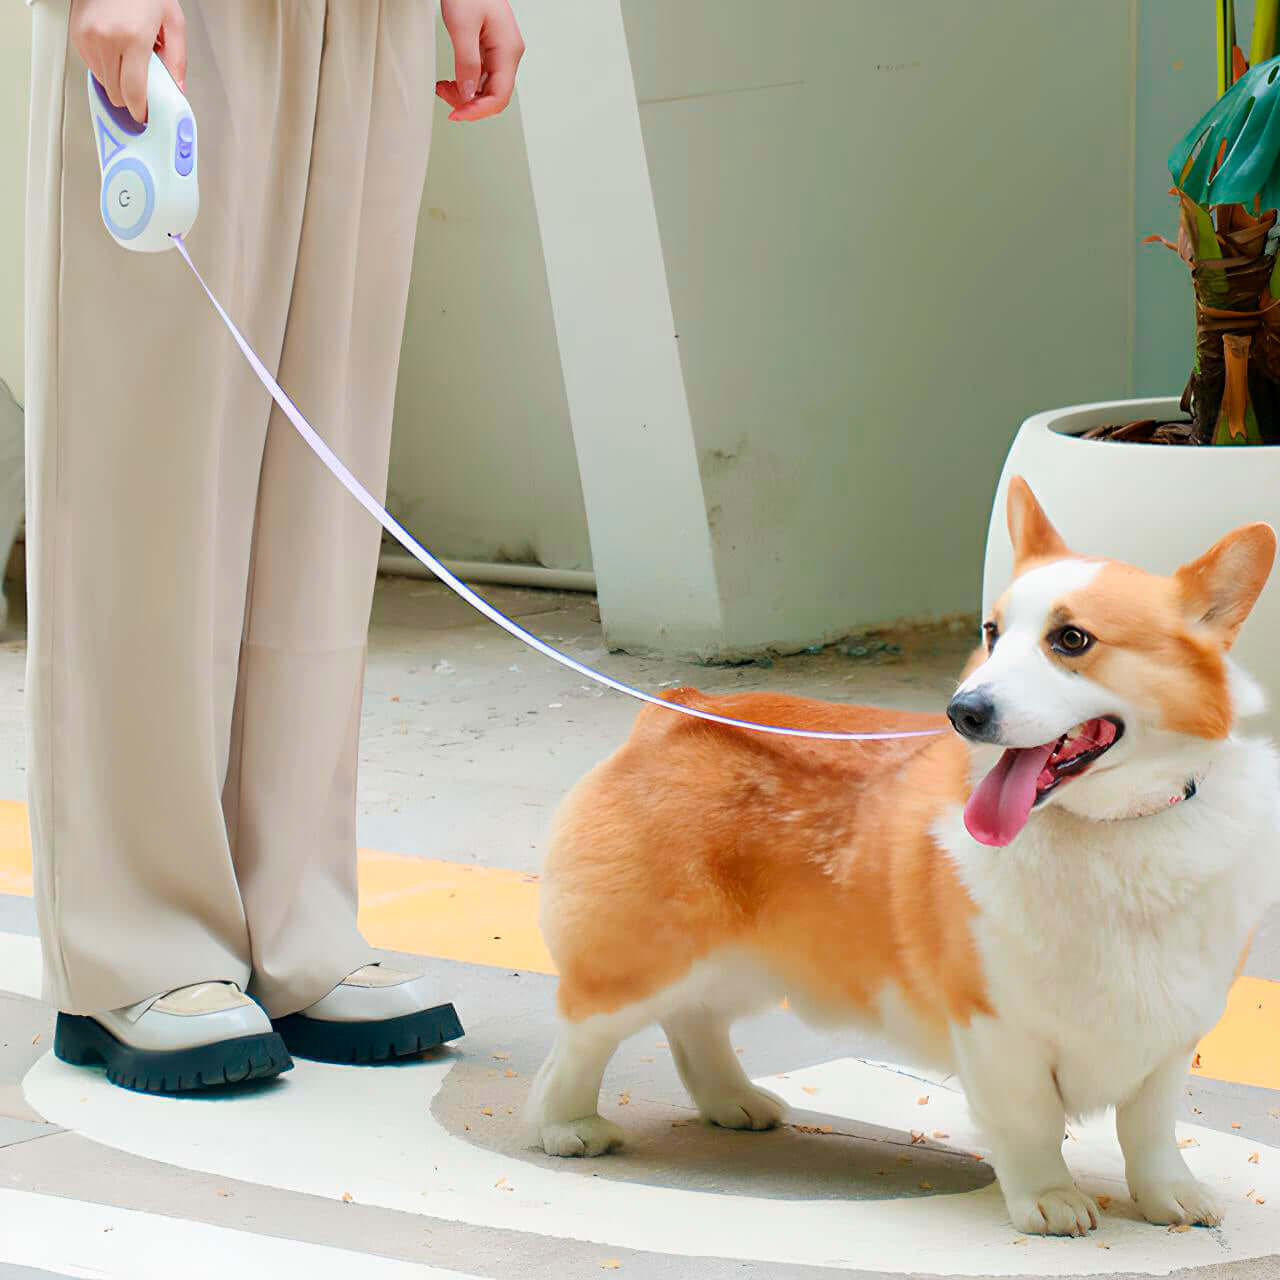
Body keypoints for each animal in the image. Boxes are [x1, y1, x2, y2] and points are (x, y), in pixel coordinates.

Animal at [527, 476, 1280, 1233]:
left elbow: (1149, 1129)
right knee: (579, 1037)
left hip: (749, 959)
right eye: (991, 633)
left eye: (1072, 639)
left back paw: (732, 1102)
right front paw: (1049, 1198)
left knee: (695, 1020)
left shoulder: (1170, 1035)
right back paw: (566, 1126)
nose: (964, 712)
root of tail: (675, 708)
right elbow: (1031, 1123)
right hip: (644, 959)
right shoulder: (996, 1026)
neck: (1109, 829)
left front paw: (1171, 1198)